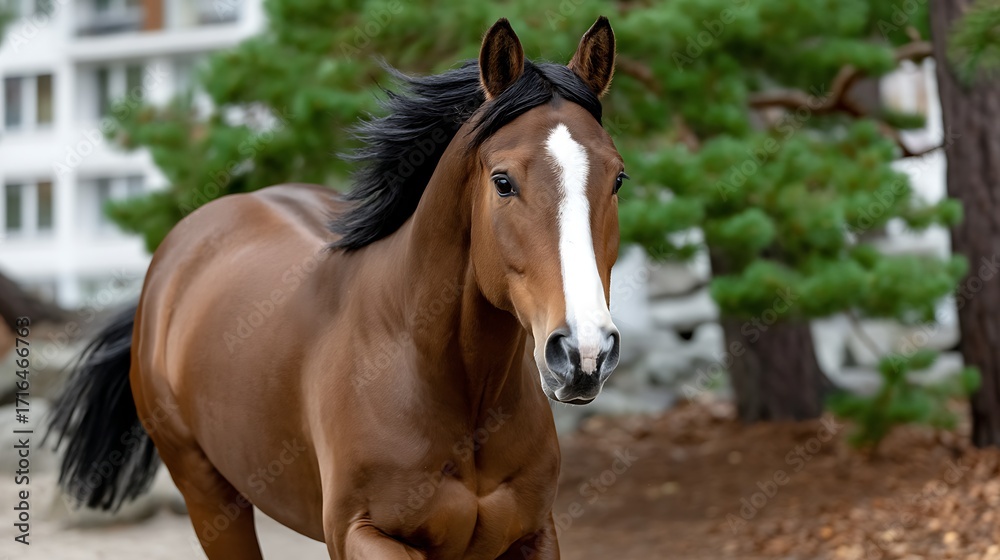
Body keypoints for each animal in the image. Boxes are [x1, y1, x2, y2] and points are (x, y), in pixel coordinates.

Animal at [49, 16, 625, 559]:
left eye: (617, 177)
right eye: (503, 181)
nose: (585, 353)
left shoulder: (533, 534)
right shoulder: (359, 534)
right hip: (208, 495)